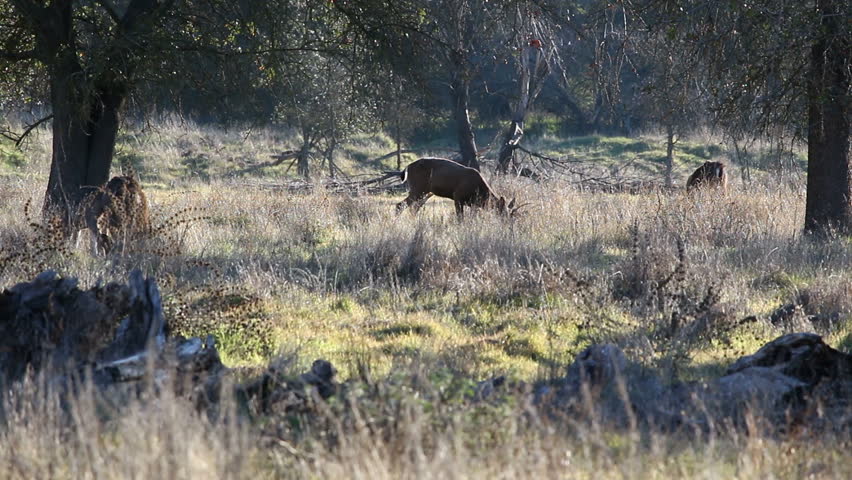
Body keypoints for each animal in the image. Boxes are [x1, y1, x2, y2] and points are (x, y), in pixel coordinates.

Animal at [388, 158, 516, 218]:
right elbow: (460, 217)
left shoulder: (472, 203)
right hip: (418, 188)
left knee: (413, 208)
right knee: (400, 205)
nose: (506, 222)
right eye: (503, 212)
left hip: (424, 191)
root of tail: (407, 167)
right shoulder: (457, 195)